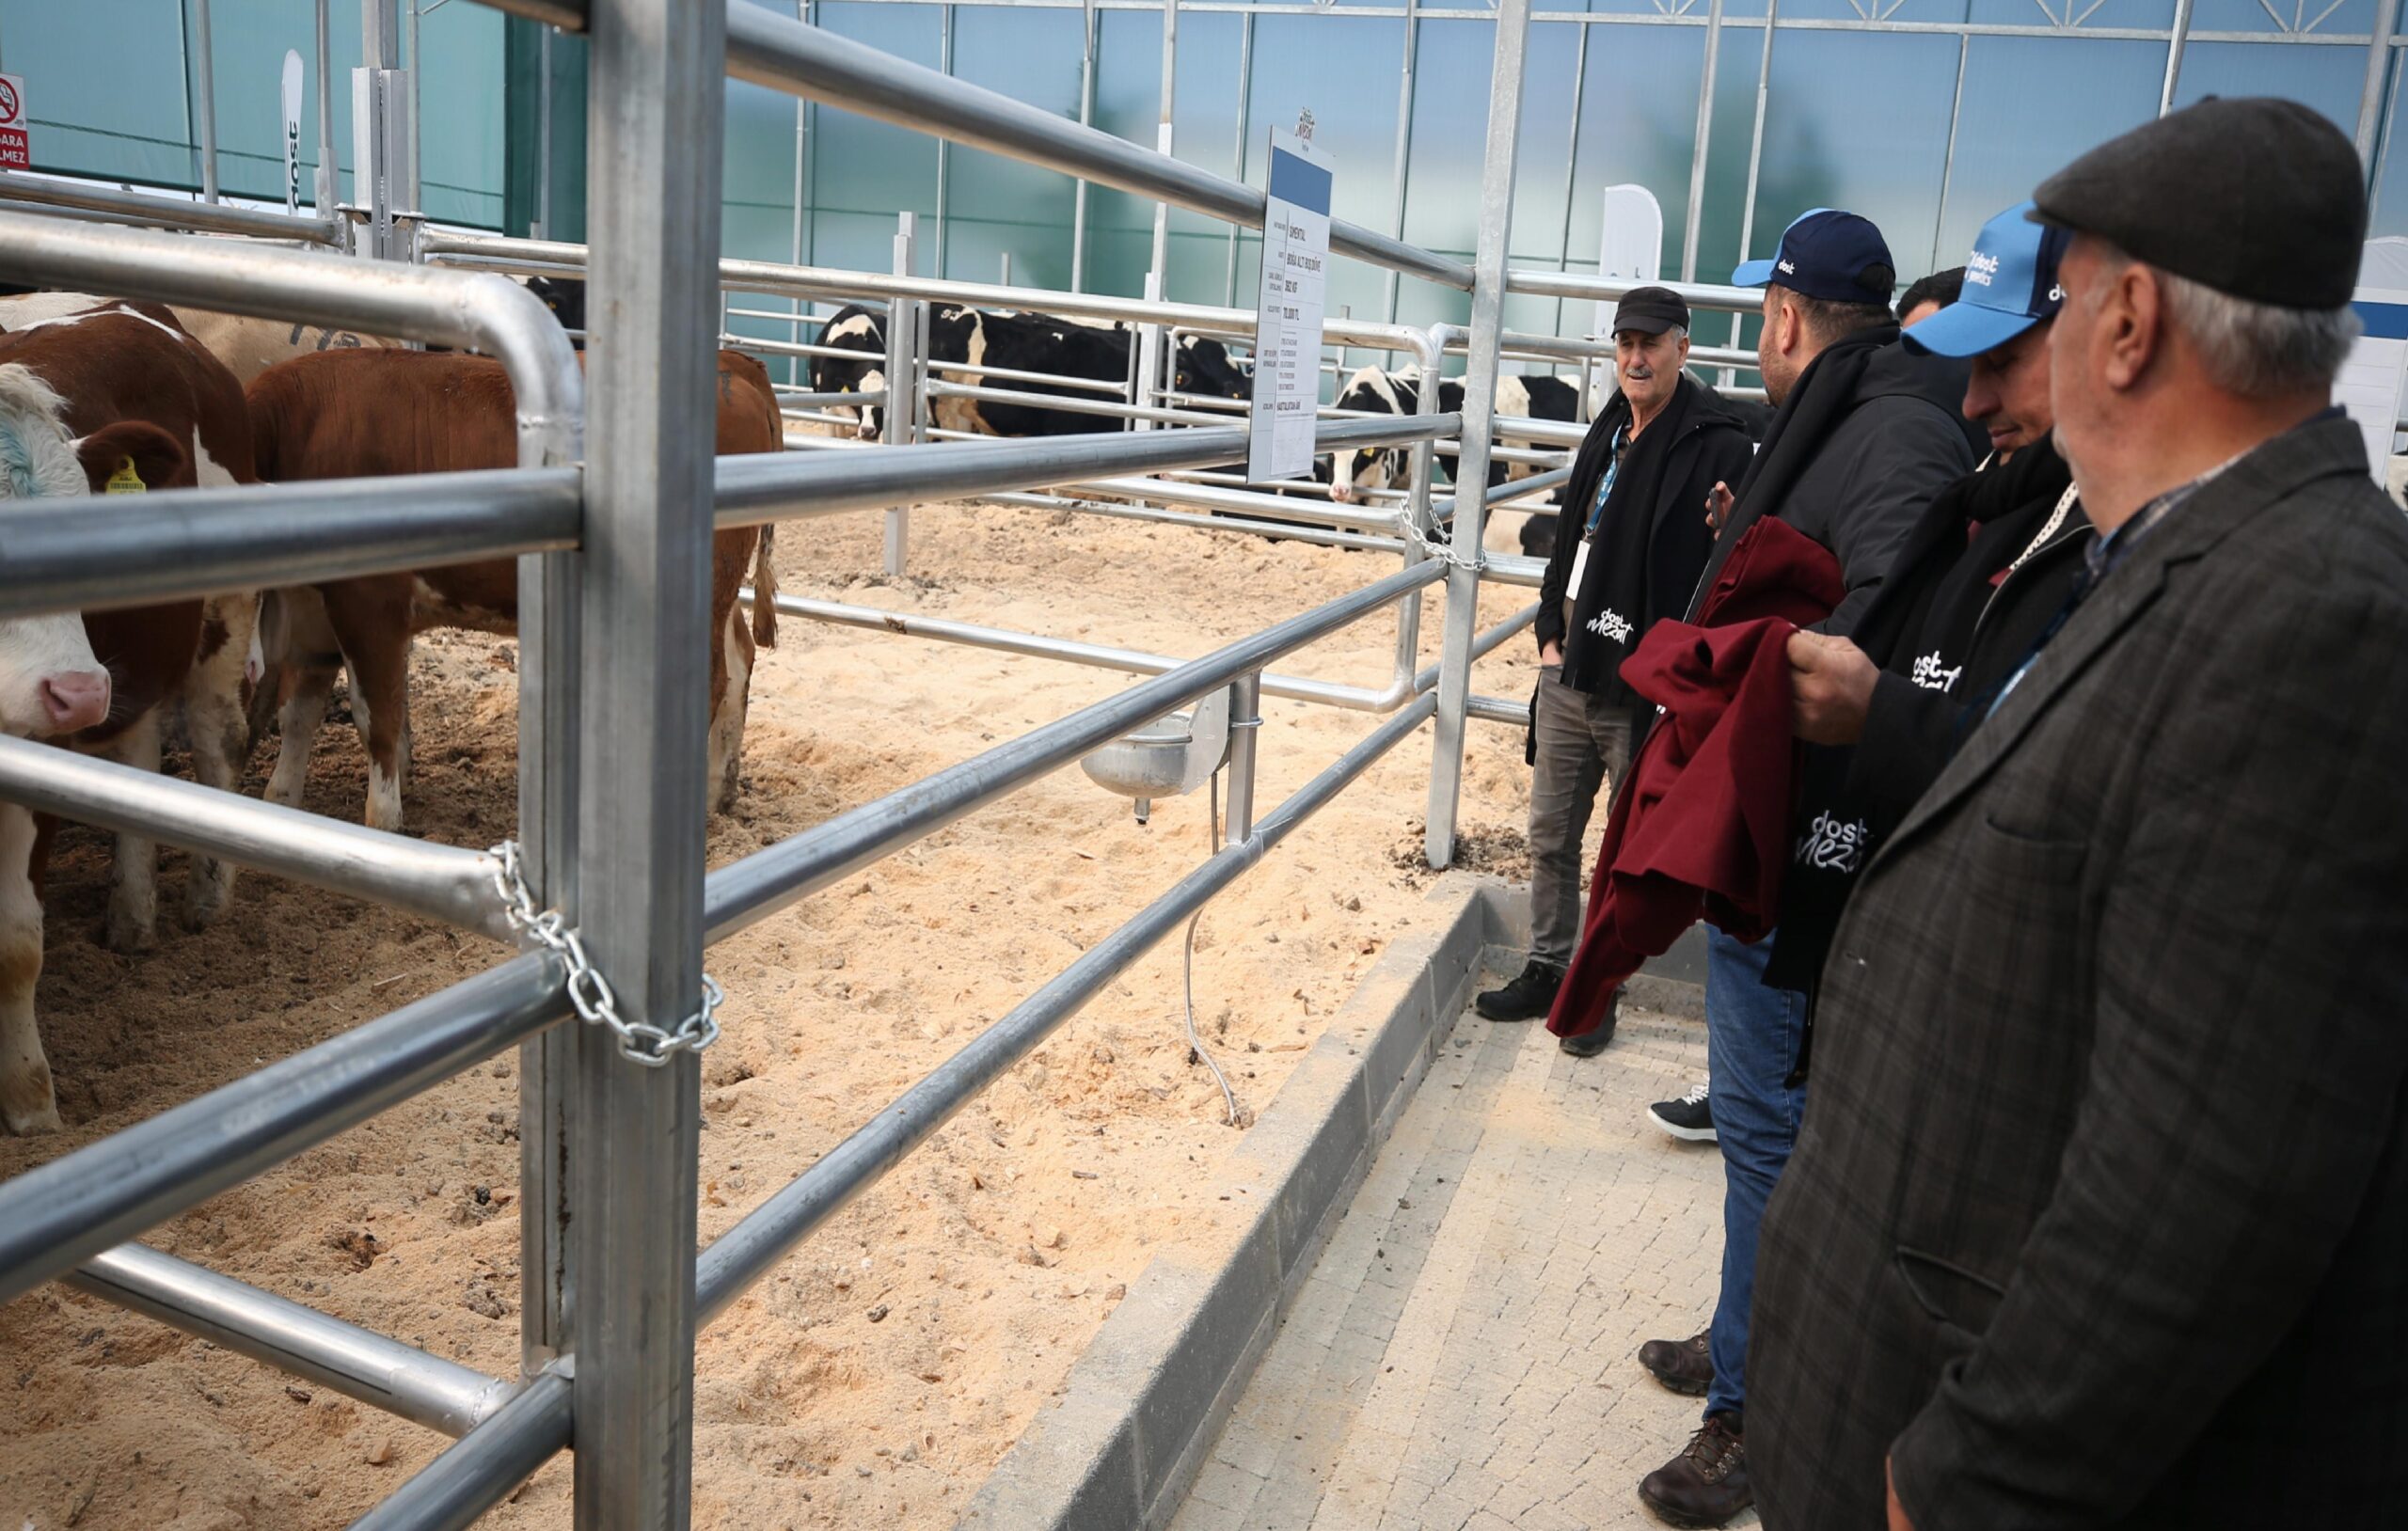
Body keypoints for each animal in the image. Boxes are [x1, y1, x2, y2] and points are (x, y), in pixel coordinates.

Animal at [0, 302, 261, 1136]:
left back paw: (206, 901)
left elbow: (16, 942)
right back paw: (132, 916)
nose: (77, 690)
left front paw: (31, 1104)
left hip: (222, 616)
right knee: (139, 759)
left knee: (217, 744)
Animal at [250, 349, 784, 832]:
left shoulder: (368, 604)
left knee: (713, 678)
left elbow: (376, 720)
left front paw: (382, 821)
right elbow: (299, 712)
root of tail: (733, 361)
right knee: (739, 658)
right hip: (722, 589)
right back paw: (718, 794)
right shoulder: (314, 610)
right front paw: (280, 801)